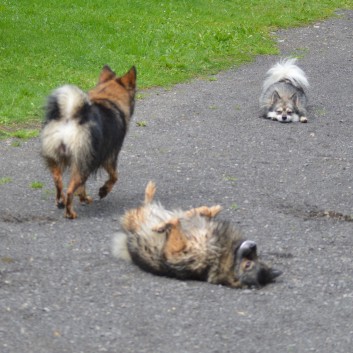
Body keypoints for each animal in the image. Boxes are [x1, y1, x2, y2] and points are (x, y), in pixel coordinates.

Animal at [40, 65, 136, 217]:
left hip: (58, 159)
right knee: (70, 190)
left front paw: (83, 197)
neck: (107, 97)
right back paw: (70, 213)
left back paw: (61, 201)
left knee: (58, 182)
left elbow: (82, 187)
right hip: (83, 164)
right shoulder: (110, 156)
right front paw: (103, 191)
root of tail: (70, 118)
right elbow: (114, 177)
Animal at [113, 183, 280, 288]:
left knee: (146, 207)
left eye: (248, 264)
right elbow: (188, 217)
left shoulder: (175, 253)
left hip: (134, 218)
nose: (253, 245)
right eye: (255, 259)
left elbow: (175, 222)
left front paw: (162, 226)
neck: (219, 255)